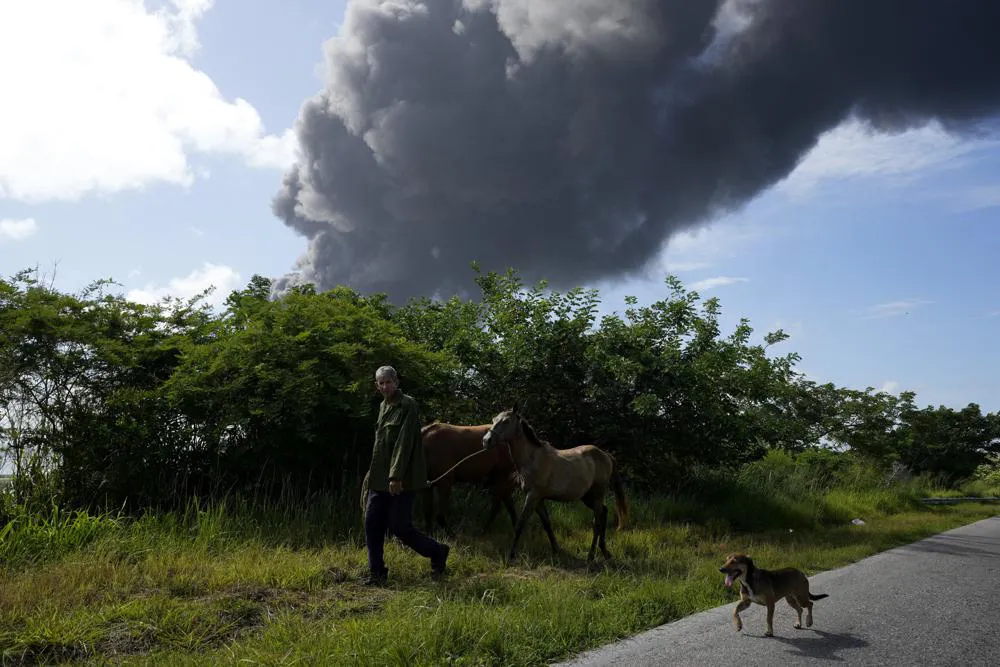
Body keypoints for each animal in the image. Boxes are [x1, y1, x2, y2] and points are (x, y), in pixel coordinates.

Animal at [360, 422, 520, 536]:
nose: (366, 523)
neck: (426, 449)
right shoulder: (427, 486)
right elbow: (428, 512)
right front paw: (429, 534)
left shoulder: (445, 483)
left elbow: (440, 516)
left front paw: (451, 535)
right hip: (502, 482)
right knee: (508, 506)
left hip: (502, 480)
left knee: (496, 507)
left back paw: (485, 531)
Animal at [482, 404, 628, 568]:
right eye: (494, 420)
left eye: (507, 421)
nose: (486, 441)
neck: (532, 458)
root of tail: (606, 455)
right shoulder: (539, 499)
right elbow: (547, 523)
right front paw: (556, 550)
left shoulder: (533, 496)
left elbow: (520, 524)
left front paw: (510, 556)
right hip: (587, 496)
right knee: (603, 513)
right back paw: (605, 552)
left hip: (597, 493)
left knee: (597, 522)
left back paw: (591, 556)